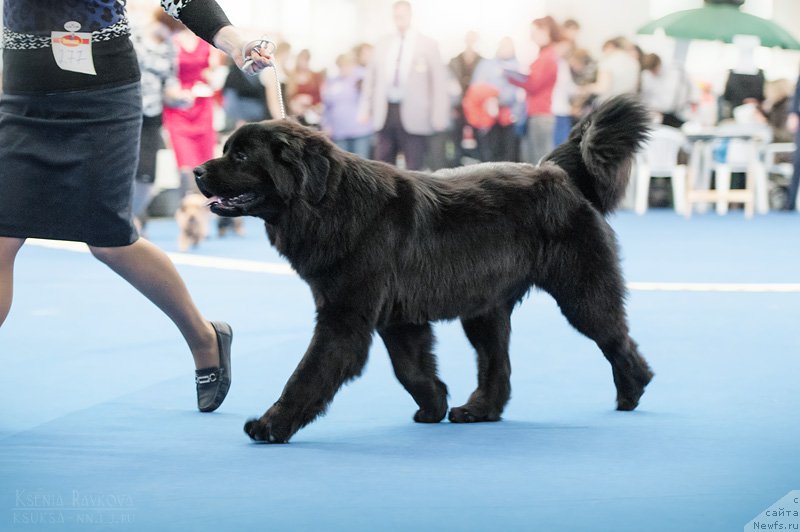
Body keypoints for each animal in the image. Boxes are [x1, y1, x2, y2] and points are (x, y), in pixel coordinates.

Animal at [197, 94, 652, 440]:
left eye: (241, 156)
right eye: (226, 149)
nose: (197, 170)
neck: (328, 204)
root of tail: (557, 173)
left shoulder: (345, 317)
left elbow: (308, 373)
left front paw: (271, 425)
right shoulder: (398, 318)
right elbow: (410, 368)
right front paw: (435, 402)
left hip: (581, 294)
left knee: (616, 339)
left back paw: (633, 390)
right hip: (484, 308)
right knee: (497, 365)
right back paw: (478, 410)